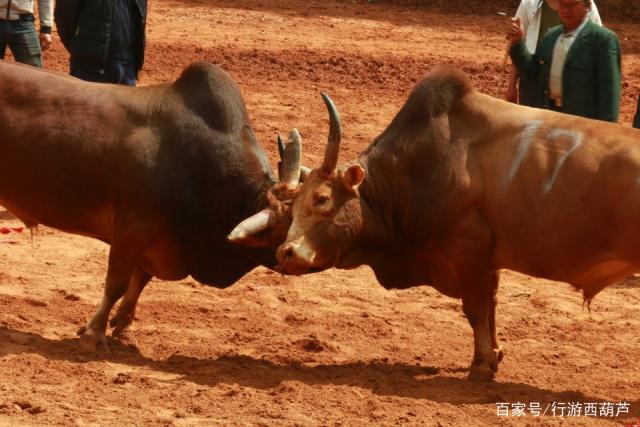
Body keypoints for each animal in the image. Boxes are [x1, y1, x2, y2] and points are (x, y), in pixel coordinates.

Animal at [235, 67, 640, 382]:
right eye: (292, 210)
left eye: (321, 199)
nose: (286, 253)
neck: (418, 168)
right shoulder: (488, 260)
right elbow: (491, 307)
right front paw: (494, 355)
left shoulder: (469, 250)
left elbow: (475, 308)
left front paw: (480, 366)